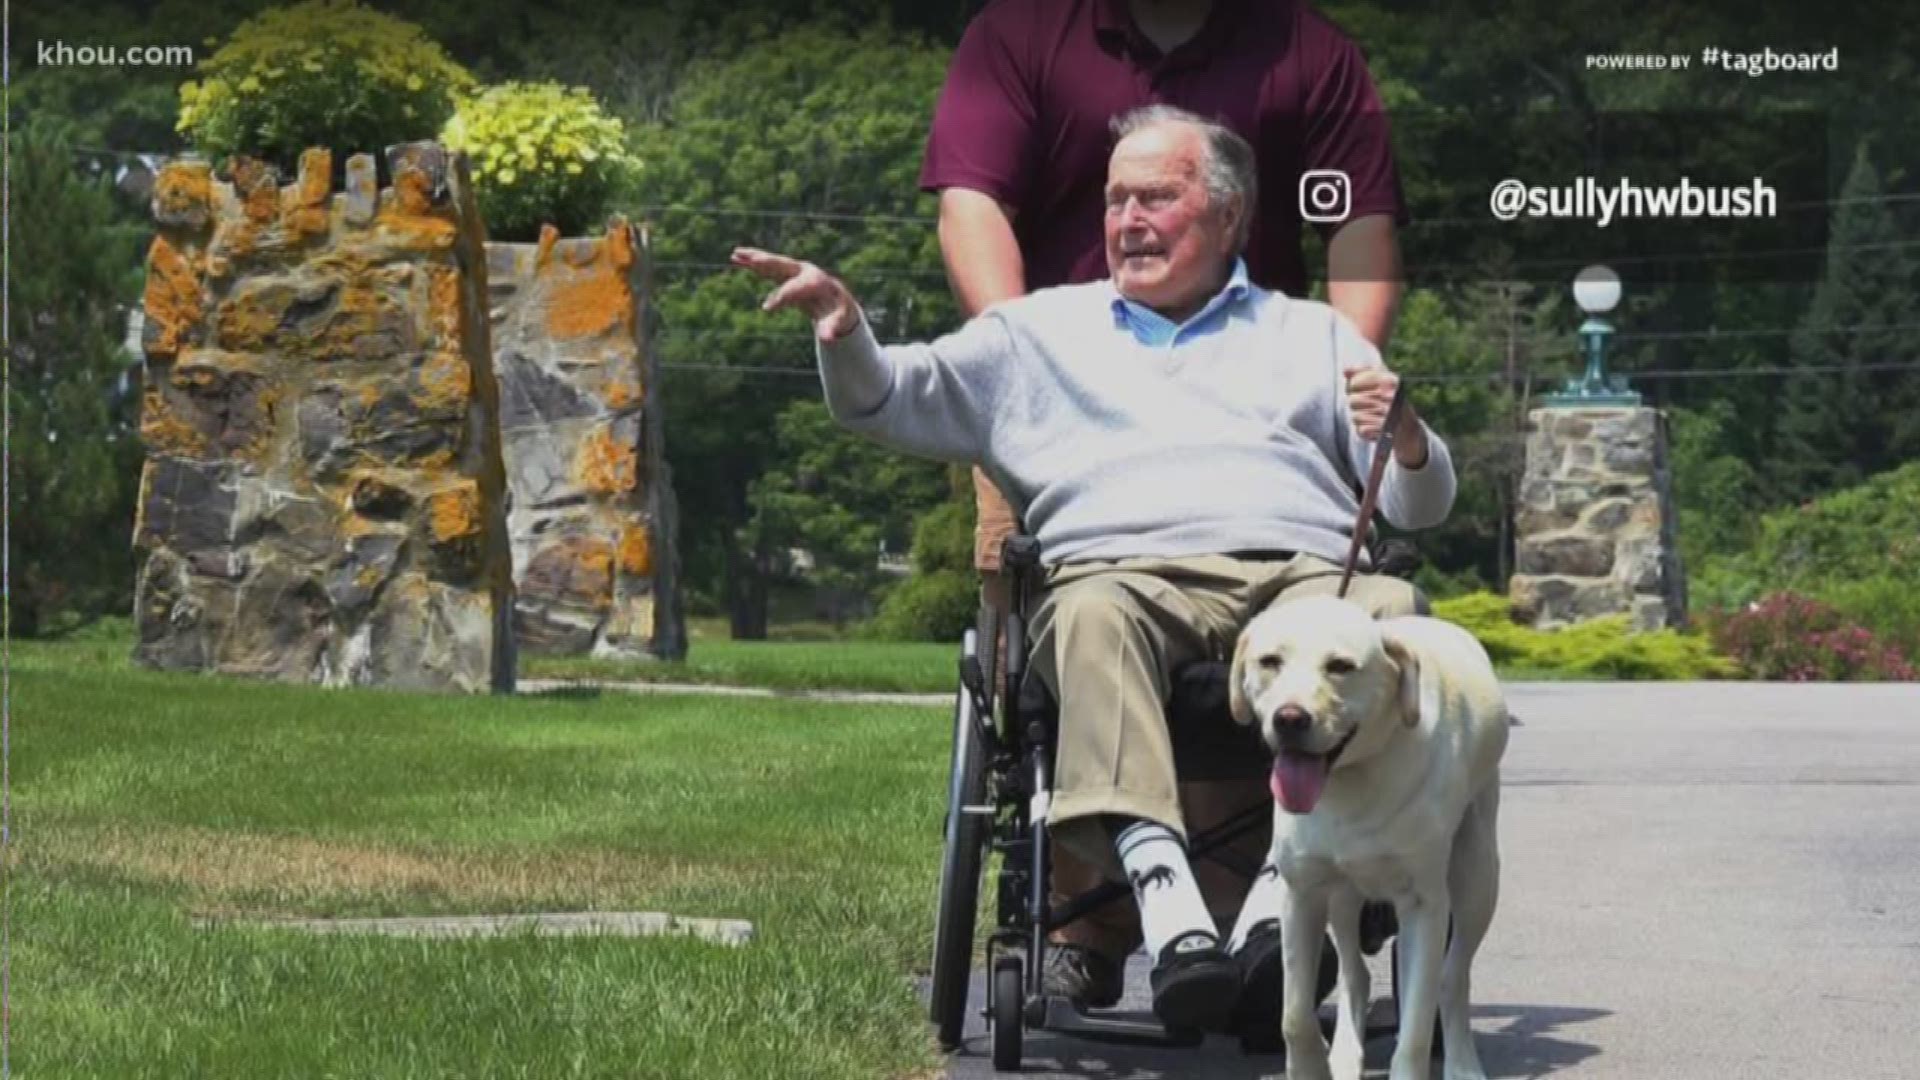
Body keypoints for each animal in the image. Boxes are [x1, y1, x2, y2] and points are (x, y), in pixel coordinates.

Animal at [1228, 591, 1512, 1076]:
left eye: (1341, 666)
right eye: (1269, 661)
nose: (1289, 719)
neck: (1350, 780)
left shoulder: (1425, 904)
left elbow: (1415, 1027)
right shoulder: (1301, 894)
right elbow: (1294, 1015)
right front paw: (1310, 1066)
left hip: (1477, 876)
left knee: (1452, 977)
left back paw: (1461, 1062)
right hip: (1343, 895)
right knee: (1355, 973)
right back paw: (1344, 1055)